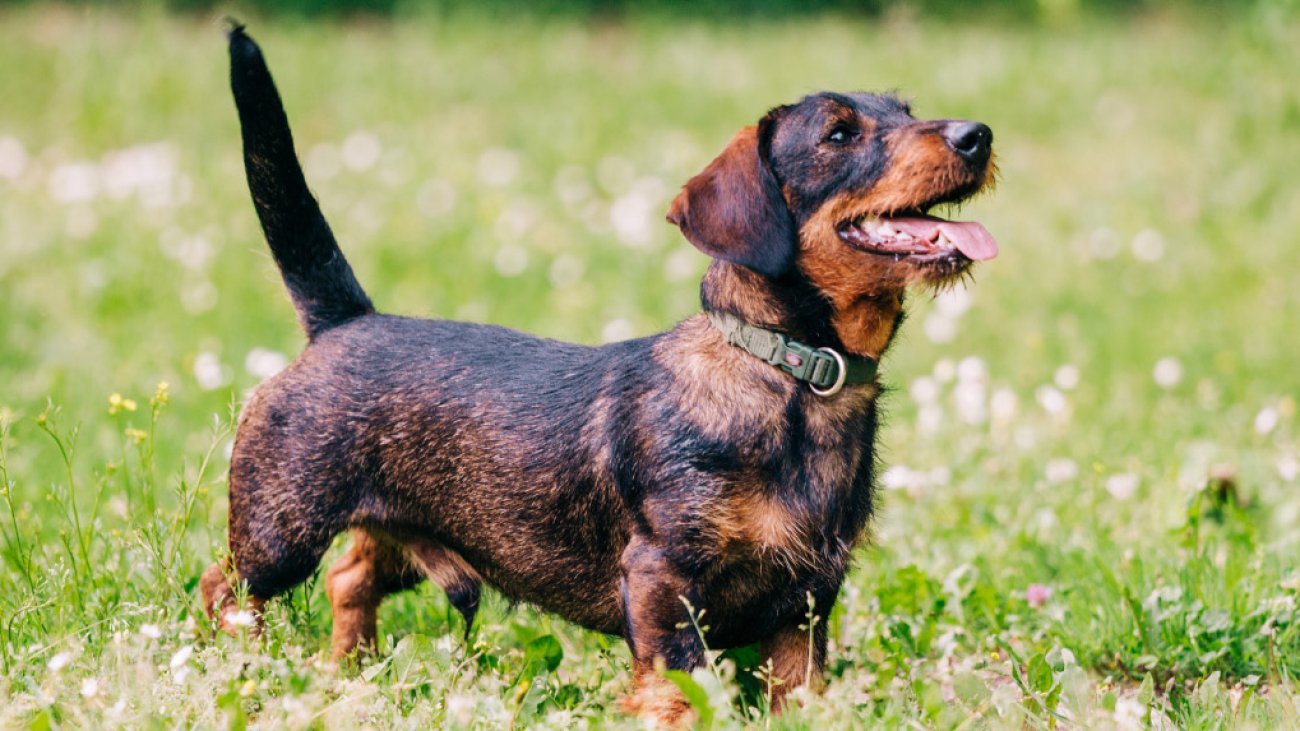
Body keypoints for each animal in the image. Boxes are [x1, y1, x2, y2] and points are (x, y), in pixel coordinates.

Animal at [200, 24, 993, 723]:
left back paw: (350, 670)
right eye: (838, 135)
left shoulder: (805, 605)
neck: (787, 376)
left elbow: (798, 695)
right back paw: (236, 667)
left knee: (350, 577)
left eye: (907, 112)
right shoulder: (664, 578)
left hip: (396, 529)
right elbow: (675, 687)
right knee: (223, 588)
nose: (977, 135)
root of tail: (345, 319)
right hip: (279, 532)